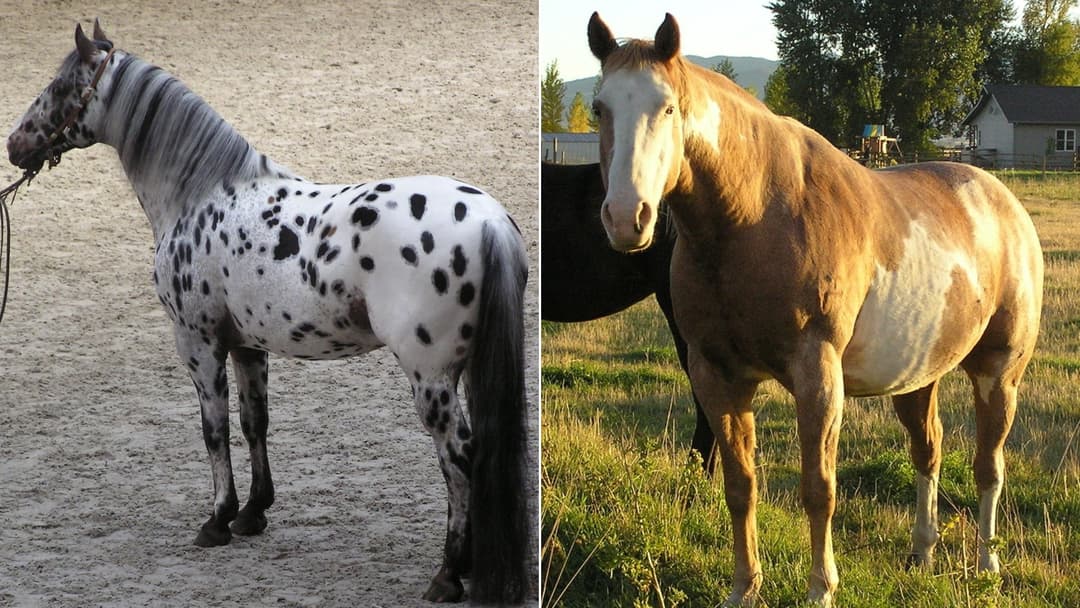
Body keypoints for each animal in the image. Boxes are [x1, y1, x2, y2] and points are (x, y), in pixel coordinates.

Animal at [6, 21, 529, 604]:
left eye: (59, 86)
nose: (15, 144)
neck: (202, 194)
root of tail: (488, 221)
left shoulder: (198, 343)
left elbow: (213, 429)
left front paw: (216, 520)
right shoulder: (246, 345)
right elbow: (254, 421)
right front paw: (253, 513)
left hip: (431, 379)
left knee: (459, 459)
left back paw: (449, 573)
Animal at [587, 13, 1043, 606]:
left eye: (667, 107)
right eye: (600, 108)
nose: (626, 218)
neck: (753, 218)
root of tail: (1001, 201)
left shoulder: (818, 375)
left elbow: (818, 489)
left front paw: (821, 589)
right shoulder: (716, 375)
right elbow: (740, 486)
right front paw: (744, 587)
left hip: (998, 373)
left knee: (989, 466)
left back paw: (986, 566)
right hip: (919, 375)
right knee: (929, 452)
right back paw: (922, 554)